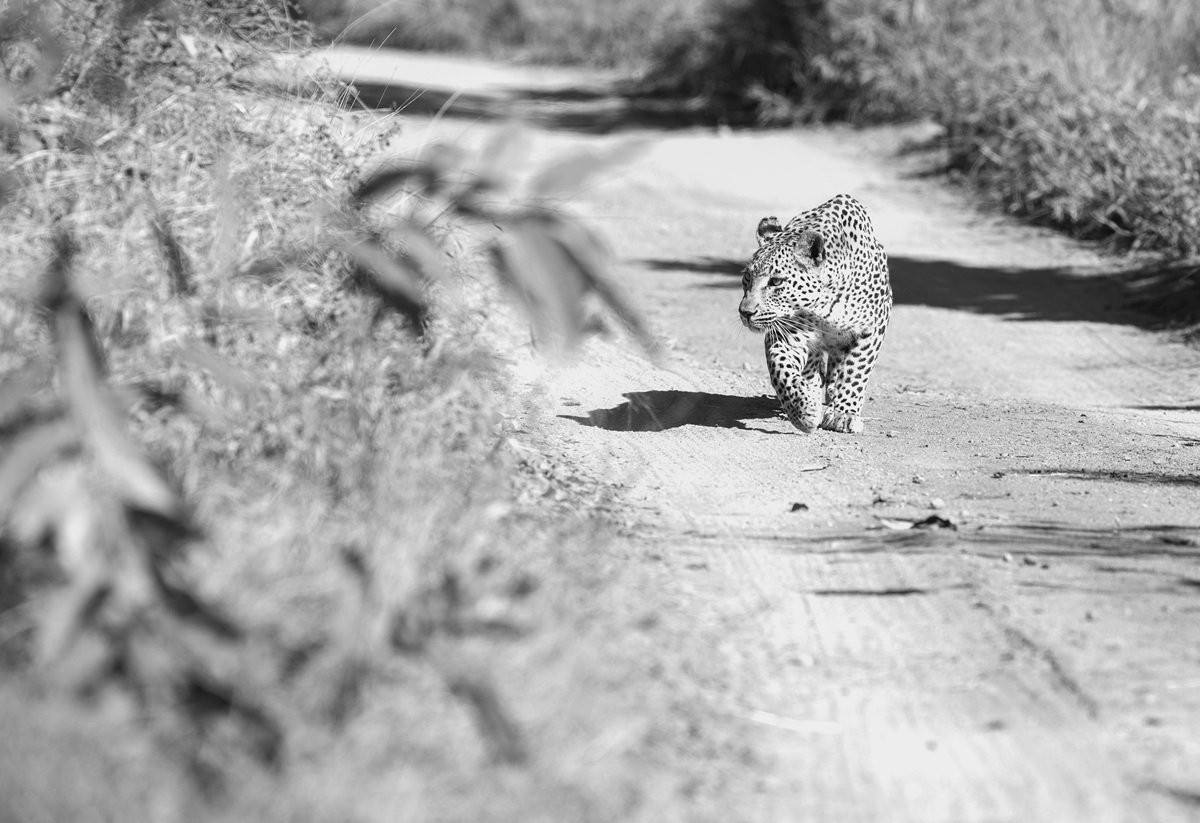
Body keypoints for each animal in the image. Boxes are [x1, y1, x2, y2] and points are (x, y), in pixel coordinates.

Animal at [737, 194, 892, 434]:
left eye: (776, 281)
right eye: (747, 277)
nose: (745, 312)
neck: (824, 305)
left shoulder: (872, 326)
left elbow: (856, 370)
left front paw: (844, 414)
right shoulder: (788, 332)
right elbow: (781, 368)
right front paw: (803, 411)